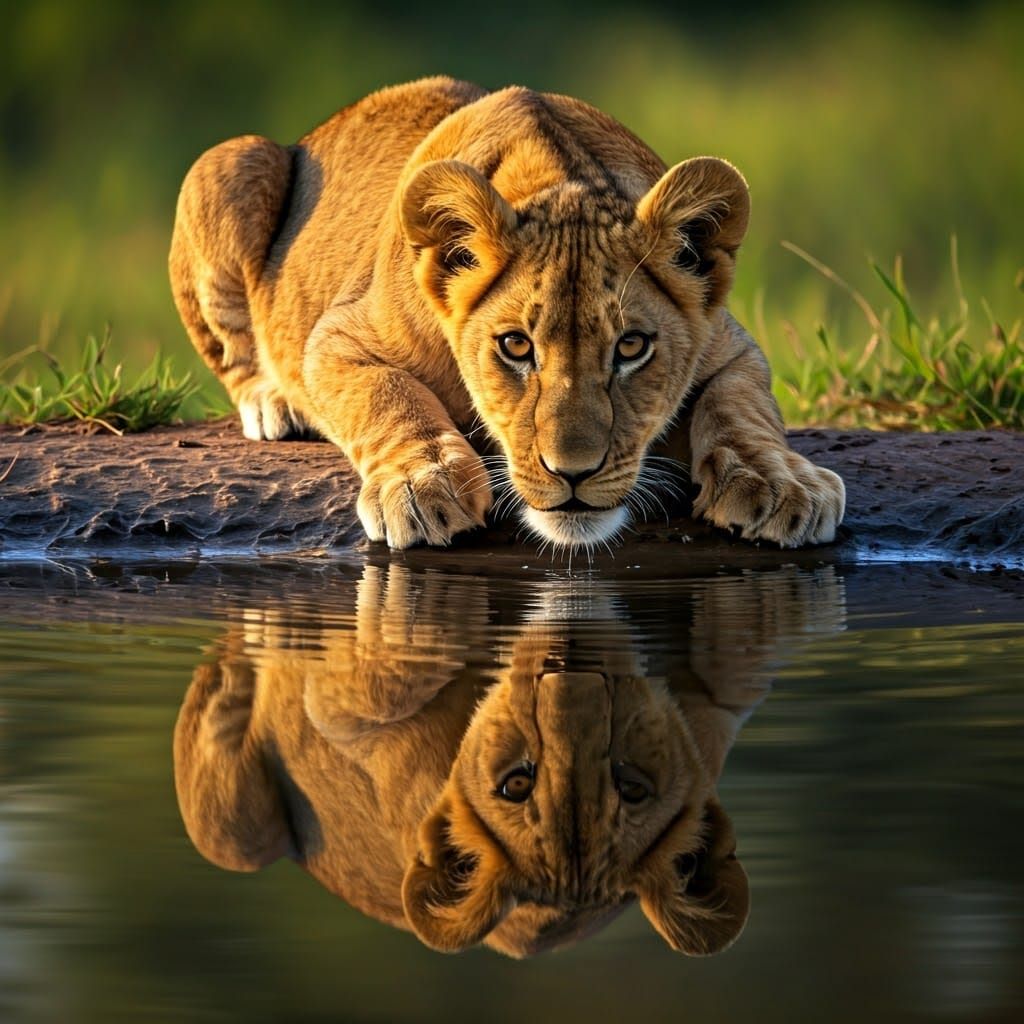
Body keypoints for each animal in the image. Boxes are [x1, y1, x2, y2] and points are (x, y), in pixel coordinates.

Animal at [170, 76, 845, 551]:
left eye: (631, 347)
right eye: (516, 347)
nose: (573, 474)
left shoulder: (732, 346)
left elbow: (741, 408)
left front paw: (781, 483)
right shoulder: (336, 336)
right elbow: (387, 396)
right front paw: (423, 483)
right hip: (231, 161)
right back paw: (274, 404)